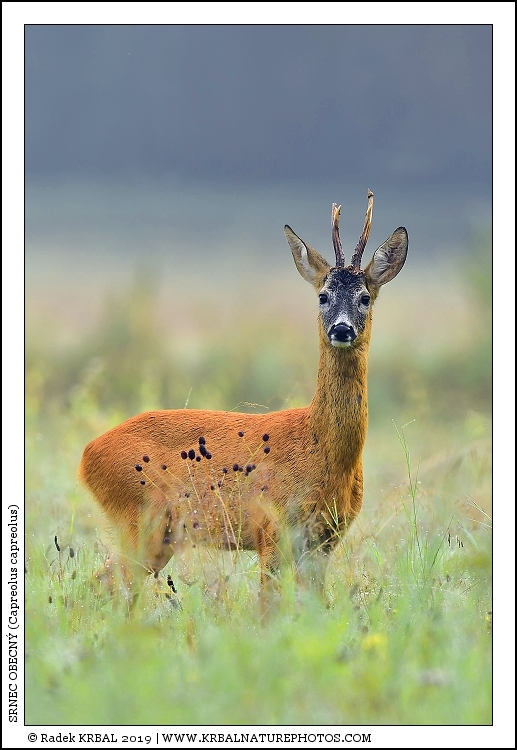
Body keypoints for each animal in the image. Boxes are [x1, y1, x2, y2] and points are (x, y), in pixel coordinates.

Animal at [79, 191, 408, 606]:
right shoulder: (271, 529)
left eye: (365, 297)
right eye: (323, 296)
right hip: (140, 519)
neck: (323, 449)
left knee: (102, 581)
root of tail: (86, 456)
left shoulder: (323, 541)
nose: (342, 329)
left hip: (158, 536)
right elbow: (269, 607)